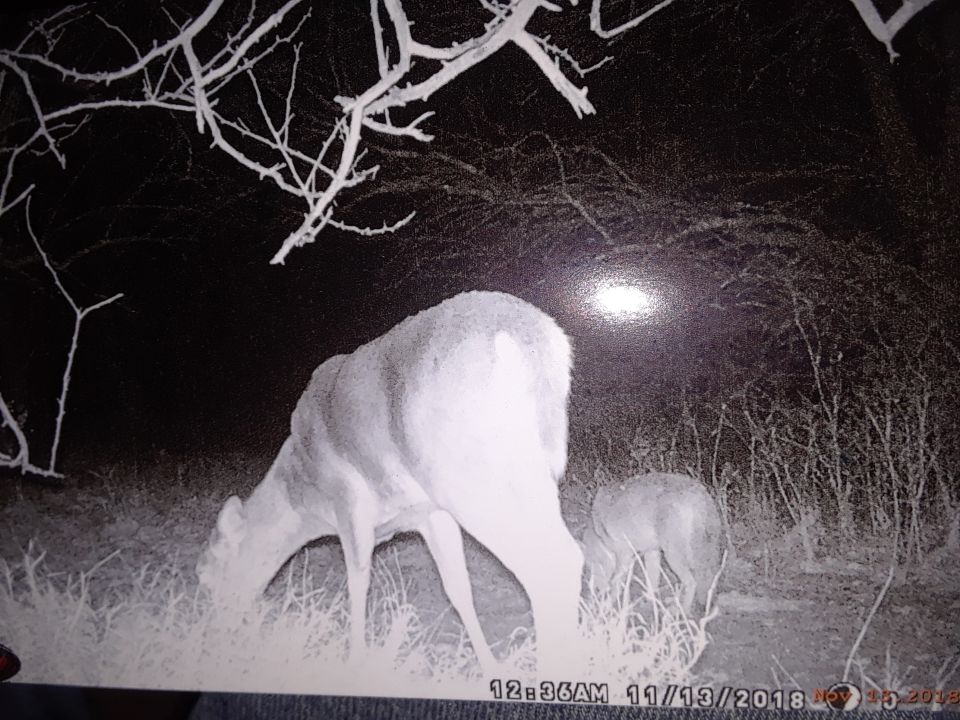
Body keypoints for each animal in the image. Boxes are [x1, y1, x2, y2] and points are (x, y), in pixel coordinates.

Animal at [196, 290, 584, 677]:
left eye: (207, 574)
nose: (214, 634)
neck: (304, 496)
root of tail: (531, 337)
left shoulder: (348, 498)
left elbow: (357, 581)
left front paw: (355, 661)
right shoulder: (428, 512)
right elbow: (457, 588)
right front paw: (491, 666)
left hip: (471, 474)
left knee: (549, 561)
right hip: (530, 470)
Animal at [582, 472, 722, 616]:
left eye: (592, 567)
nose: (595, 591)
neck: (598, 529)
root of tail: (699, 493)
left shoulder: (625, 554)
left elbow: (616, 584)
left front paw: (606, 605)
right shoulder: (651, 552)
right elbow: (652, 580)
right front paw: (649, 601)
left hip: (673, 556)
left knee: (691, 582)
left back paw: (682, 611)